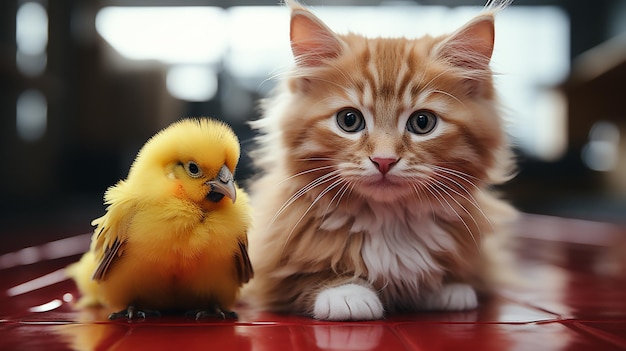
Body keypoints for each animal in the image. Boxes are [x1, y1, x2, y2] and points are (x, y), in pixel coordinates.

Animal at [244, 0, 516, 320]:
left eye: (422, 122)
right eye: (349, 120)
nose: (384, 160)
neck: (389, 221)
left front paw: (447, 288)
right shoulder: (269, 266)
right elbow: (304, 279)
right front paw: (346, 293)